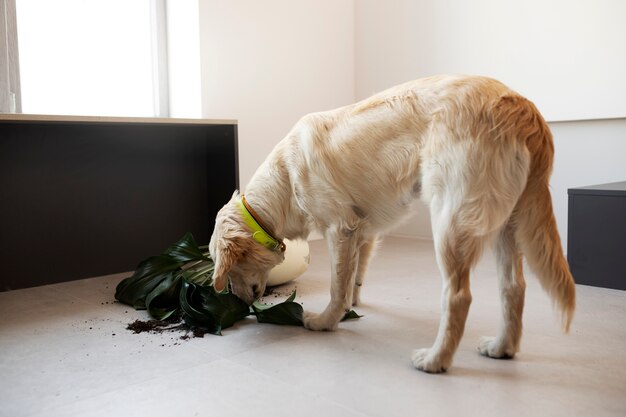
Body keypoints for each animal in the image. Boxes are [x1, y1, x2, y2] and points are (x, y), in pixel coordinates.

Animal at [210, 74, 576, 370]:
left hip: (451, 222)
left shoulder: (340, 229)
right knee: (514, 287)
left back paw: (435, 360)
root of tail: (524, 108)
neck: (285, 177)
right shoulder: (362, 232)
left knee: (459, 296)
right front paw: (349, 308)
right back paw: (502, 348)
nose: (239, 302)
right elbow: (353, 279)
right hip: (507, 226)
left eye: (224, 269)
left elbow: (336, 285)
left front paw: (326, 321)